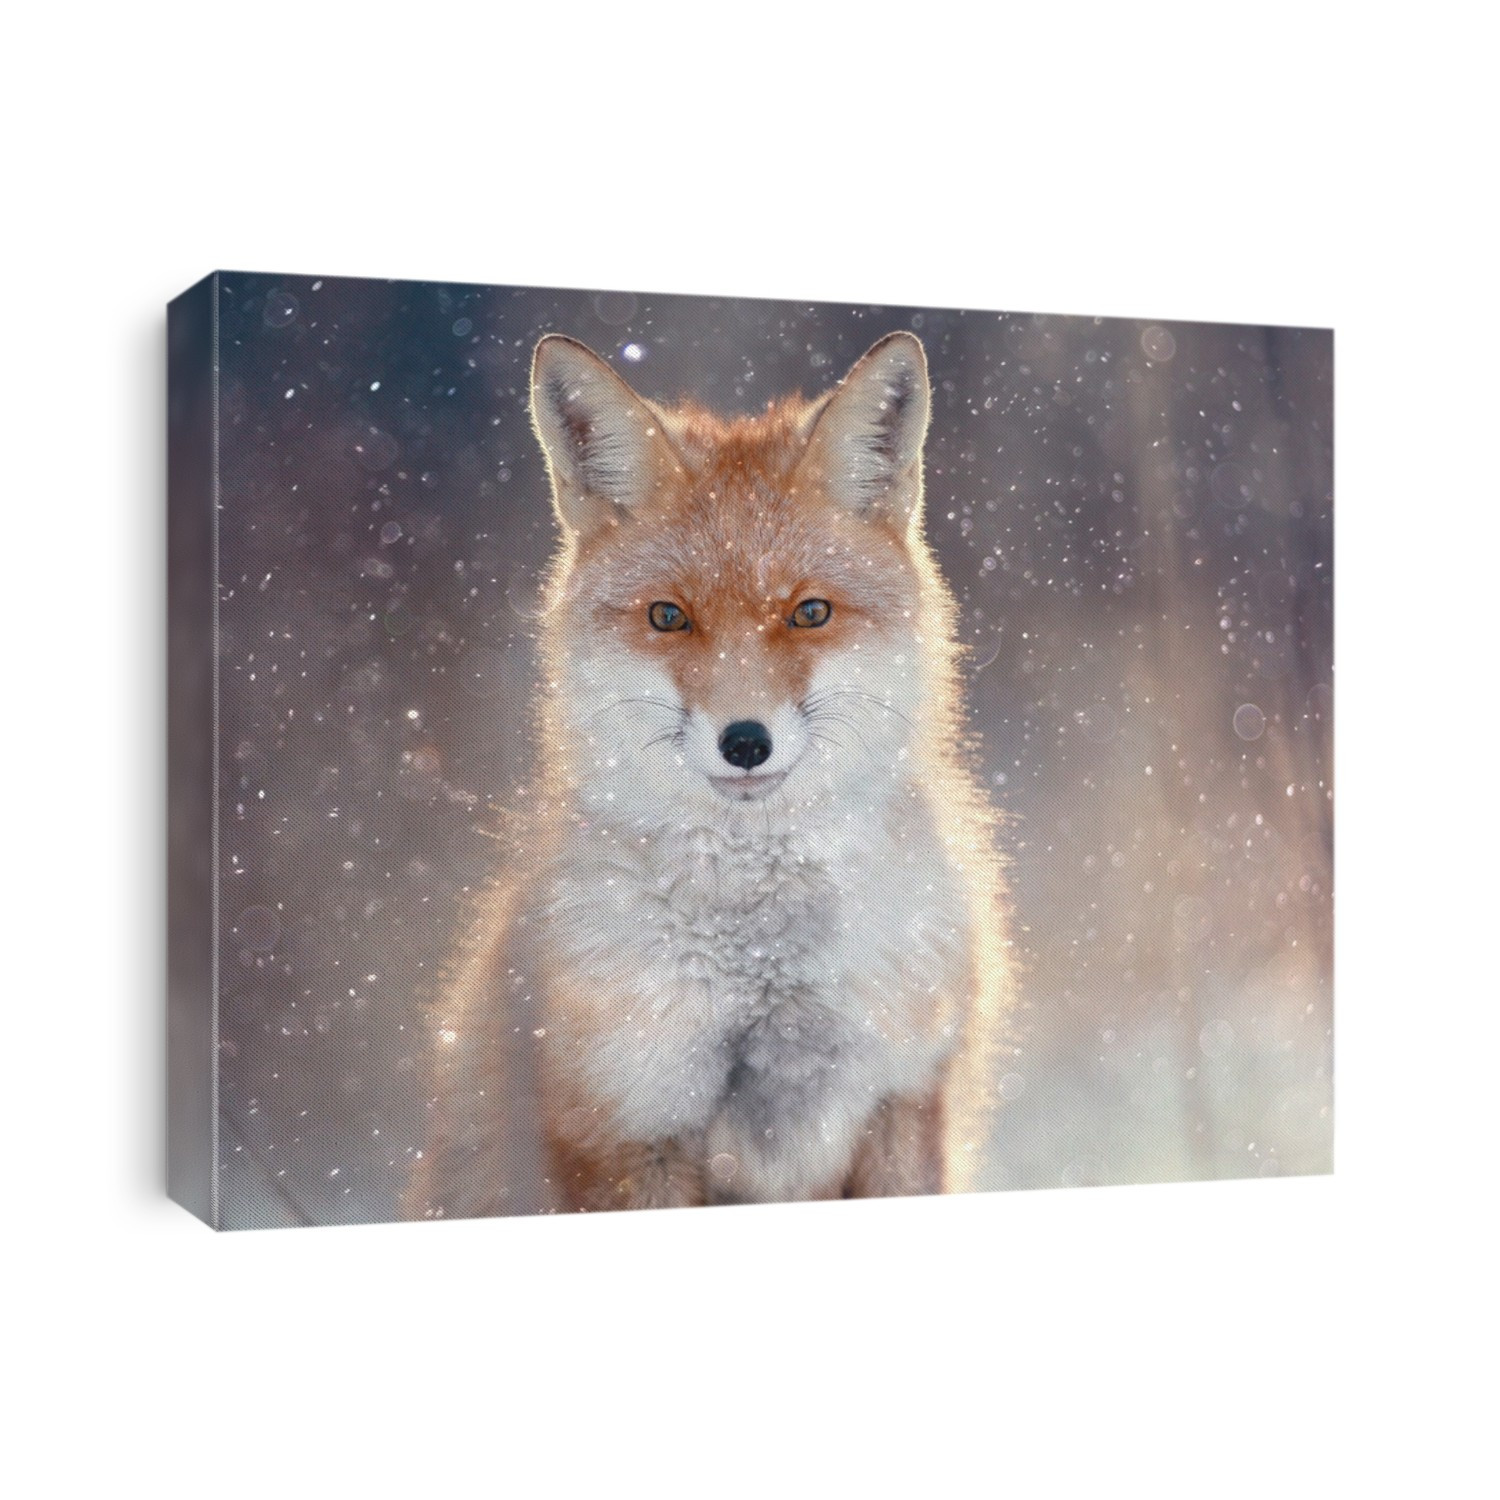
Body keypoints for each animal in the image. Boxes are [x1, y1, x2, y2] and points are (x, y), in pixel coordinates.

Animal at [404, 329, 1014, 1218]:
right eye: (669, 617)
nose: (746, 742)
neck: (764, 964)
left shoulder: (904, 1097)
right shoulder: (627, 1124)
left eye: (809, 612)